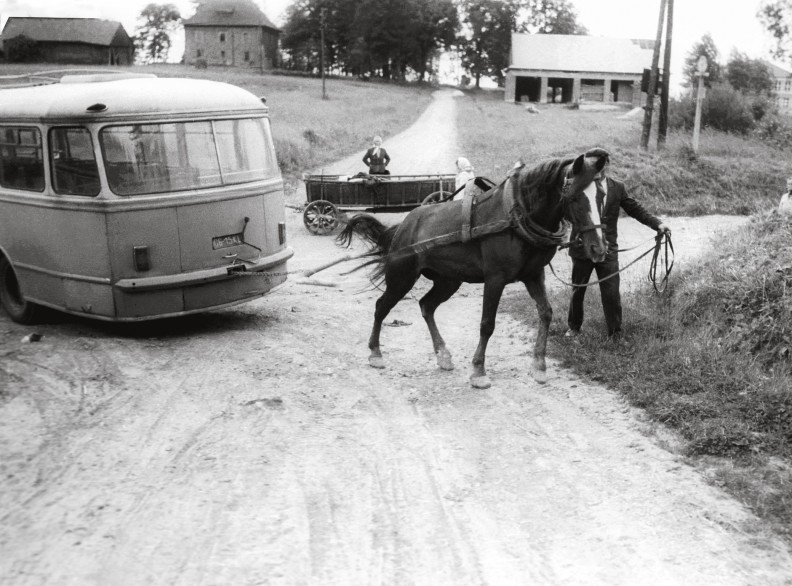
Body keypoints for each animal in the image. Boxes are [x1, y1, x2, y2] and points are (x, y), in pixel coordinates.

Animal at [336, 153, 608, 386]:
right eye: (575, 197)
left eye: (601, 196)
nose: (598, 248)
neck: (517, 214)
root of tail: (404, 225)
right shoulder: (495, 278)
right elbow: (487, 323)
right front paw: (479, 371)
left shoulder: (533, 275)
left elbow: (546, 313)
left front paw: (539, 366)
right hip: (402, 277)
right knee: (382, 306)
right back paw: (375, 353)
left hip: (448, 281)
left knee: (427, 306)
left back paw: (443, 355)